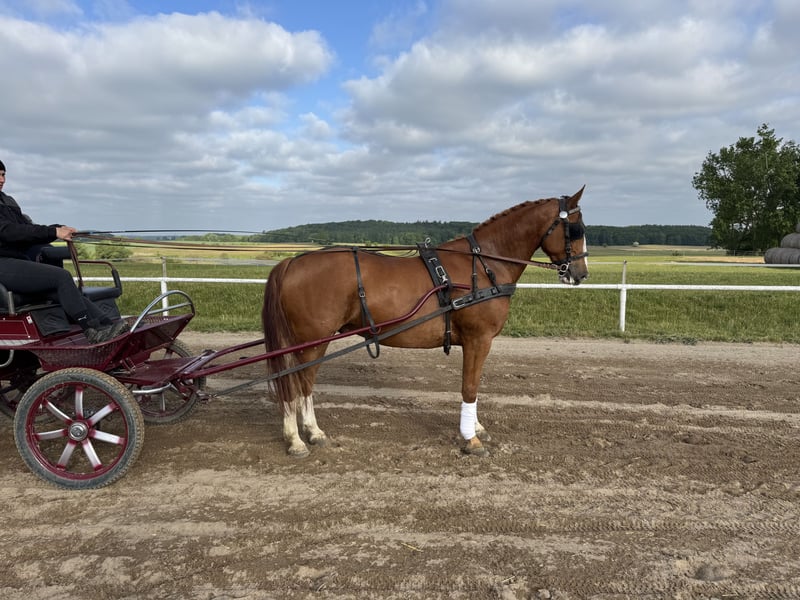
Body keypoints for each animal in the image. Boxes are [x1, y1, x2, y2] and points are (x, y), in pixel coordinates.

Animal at [262, 187, 589, 457]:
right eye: (575, 229)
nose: (581, 273)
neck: (484, 265)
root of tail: (291, 262)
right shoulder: (478, 339)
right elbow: (469, 386)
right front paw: (470, 439)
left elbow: (474, 385)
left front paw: (476, 428)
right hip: (311, 341)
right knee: (297, 383)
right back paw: (298, 439)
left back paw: (309, 433)